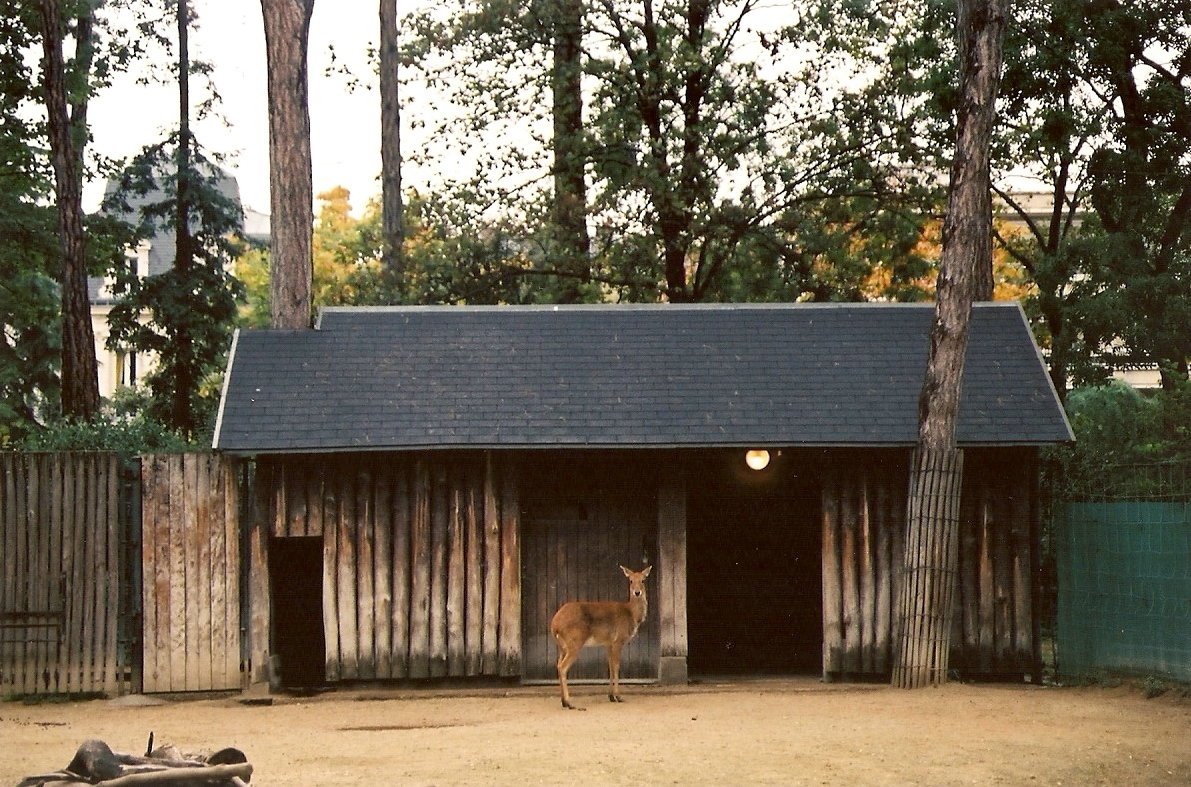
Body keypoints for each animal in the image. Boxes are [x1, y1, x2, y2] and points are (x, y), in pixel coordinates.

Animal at [550, 564, 652, 710]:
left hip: (562, 647)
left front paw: (611, 696)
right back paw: (570, 703)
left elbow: (610, 666)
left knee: (558, 664)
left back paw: (563, 702)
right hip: (574, 642)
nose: (637, 592)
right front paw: (618, 696)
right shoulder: (618, 640)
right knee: (562, 667)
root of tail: (554, 625)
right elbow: (616, 666)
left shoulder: (608, 643)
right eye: (631, 580)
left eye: (643, 580)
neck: (631, 614)